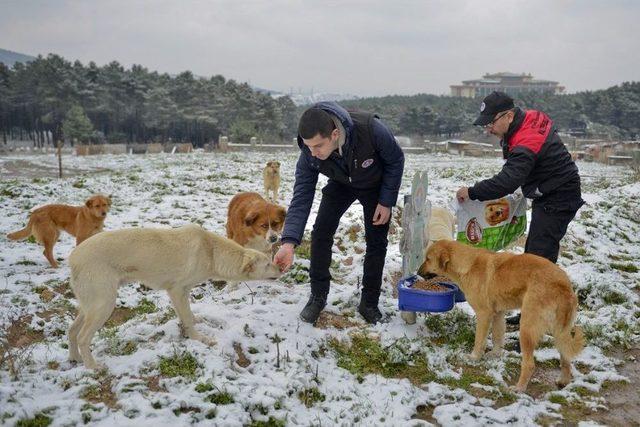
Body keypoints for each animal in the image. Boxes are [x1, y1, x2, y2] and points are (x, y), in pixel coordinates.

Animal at [67, 226, 280, 370]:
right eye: (268, 264)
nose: (282, 268)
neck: (211, 251)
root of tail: (73, 257)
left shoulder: (180, 292)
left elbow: (188, 315)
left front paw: (193, 325)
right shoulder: (177, 290)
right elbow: (187, 319)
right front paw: (199, 339)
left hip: (90, 306)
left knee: (71, 331)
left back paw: (75, 358)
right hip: (104, 304)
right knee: (83, 337)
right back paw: (93, 367)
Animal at [420, 241, 584, 394]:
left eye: (428, 259)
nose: (418, 272)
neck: (468, 264)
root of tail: (563, 287)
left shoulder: (484, 314)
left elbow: (479, 341)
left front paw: (474, 357)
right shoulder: (498, 314)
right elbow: (497, 337)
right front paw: (495, 354)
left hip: (526, 329)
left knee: (529, 365)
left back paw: (519, 388)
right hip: (560, 332)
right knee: (566, 359)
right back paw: (563, 381)